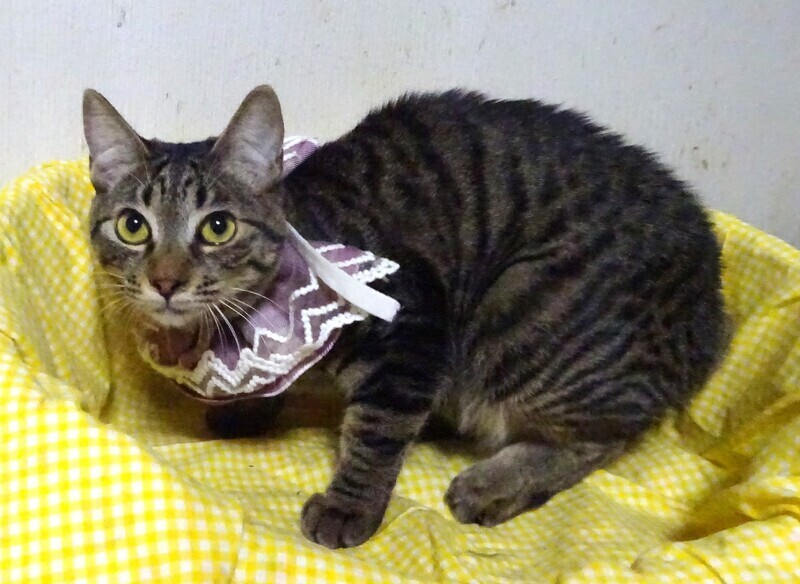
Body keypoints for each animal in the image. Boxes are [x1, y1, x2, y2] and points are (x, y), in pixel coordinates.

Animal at [83, 85, 727, 549]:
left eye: (217, 227)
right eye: (133, 226)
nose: (166, 281)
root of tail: (712, 313)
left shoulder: (413, 330)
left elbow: (376, 430)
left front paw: (349, 506)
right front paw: (249, 408)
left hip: (518, 313)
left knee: (604, 436)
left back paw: (491, 484)